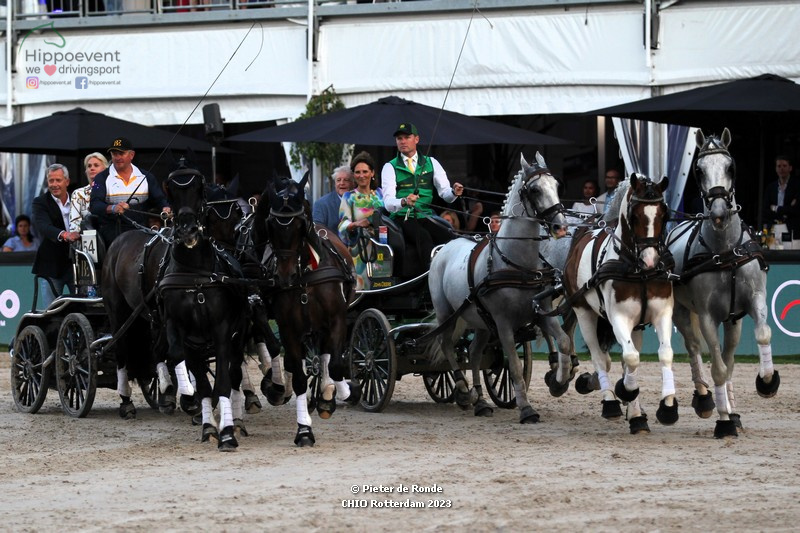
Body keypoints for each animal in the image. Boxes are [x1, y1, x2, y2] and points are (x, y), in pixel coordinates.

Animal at [253, 175, 360, 444]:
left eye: (300, 224)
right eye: (271, 225)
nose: (284, 276)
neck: (305, 277)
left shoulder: (337, 321)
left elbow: (335, 364)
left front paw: (336, 394)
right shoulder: (288, 328)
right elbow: (300, 378)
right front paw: (303, 429)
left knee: (326, 356)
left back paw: (328, 394)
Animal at [428, 152, 572, 422]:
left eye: (557, 185)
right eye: (535, 190)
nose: (561, 227)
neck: (517, 264)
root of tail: (444, 248)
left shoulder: (541, 314)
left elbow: (565, 342)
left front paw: (558, 383)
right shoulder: (503, 323)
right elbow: (513, 365)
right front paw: (526, 409)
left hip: (480, 322)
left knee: (474, 352)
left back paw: (481, 402)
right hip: (446, 313)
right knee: (447, 345)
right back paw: (463, 390)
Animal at [564, 175, 676, 432]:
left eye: (664, 214)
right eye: (634, 216)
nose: (650, 261)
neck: (638, 271)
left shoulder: (662, 313)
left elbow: (664, 354)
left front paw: (667, 407)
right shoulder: (618, 318)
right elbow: (631, 357)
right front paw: (624, 390)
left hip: (636, 326)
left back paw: (636, 416)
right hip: (584, 312)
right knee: (599, 358)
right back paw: (611, 403)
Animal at [664, 128, 780, 436]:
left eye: (730, 167)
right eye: (699, 170)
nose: (717, 213)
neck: (726, 252)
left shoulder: (755, 299)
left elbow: (761, 335)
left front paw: (766, 381)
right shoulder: (706, 316)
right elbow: (715, 366)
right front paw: (723, 420)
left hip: (733, 321)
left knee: (728, 359)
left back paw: (731, 406)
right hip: (681, 312)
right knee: (694, 348)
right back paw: (706, 400)